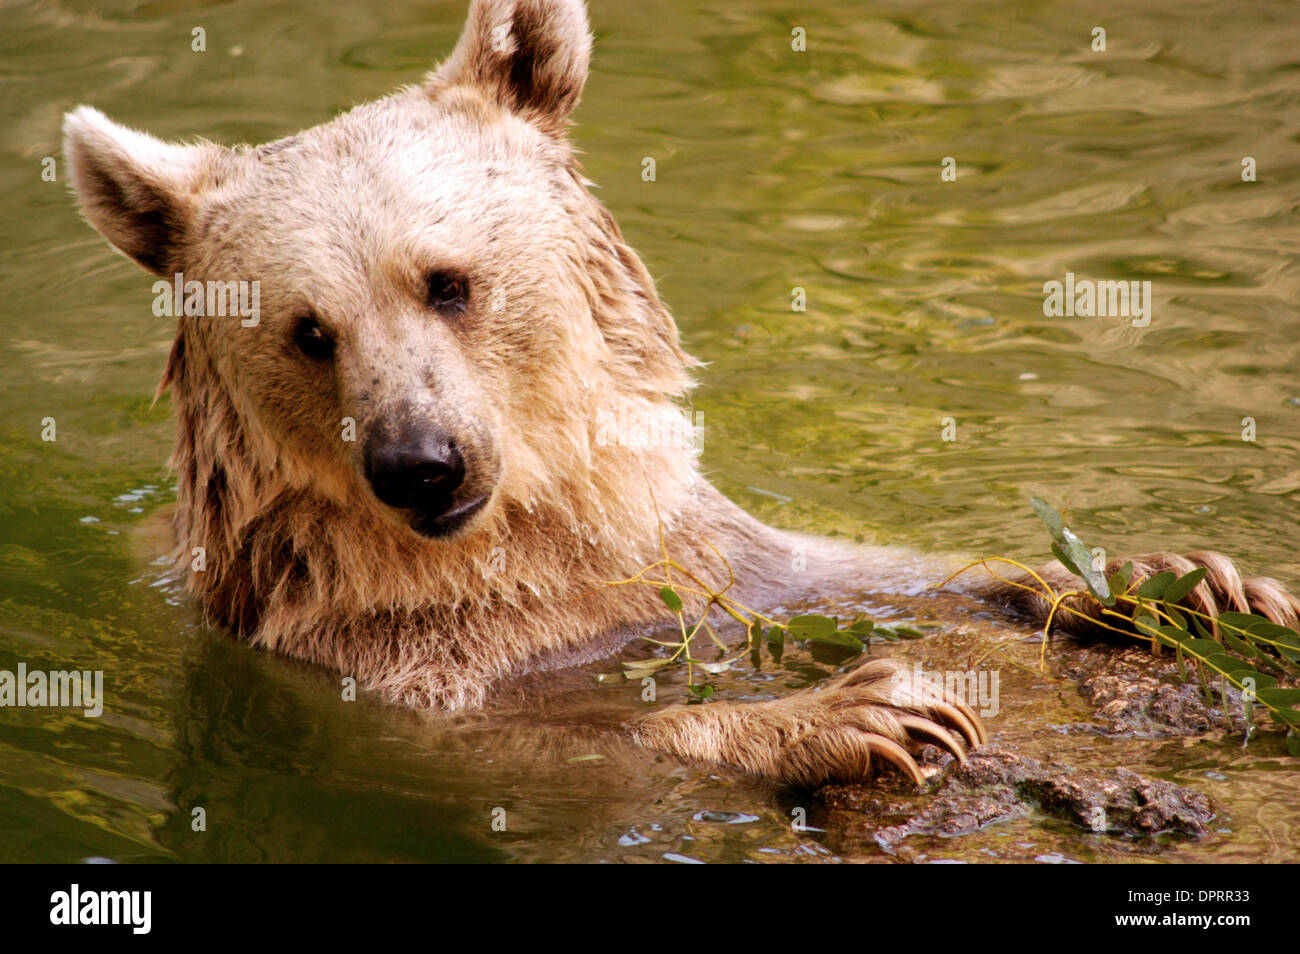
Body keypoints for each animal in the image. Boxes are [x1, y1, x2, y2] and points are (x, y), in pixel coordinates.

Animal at [63, 0, 1300, 790]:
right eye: (308, 331)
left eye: (447, 280)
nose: (420, 463)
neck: (527, 535)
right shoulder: (347, 655)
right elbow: (524, 739)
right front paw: (861, 712)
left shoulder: (683, 554)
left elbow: (861, 568)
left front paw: (1183, 580)